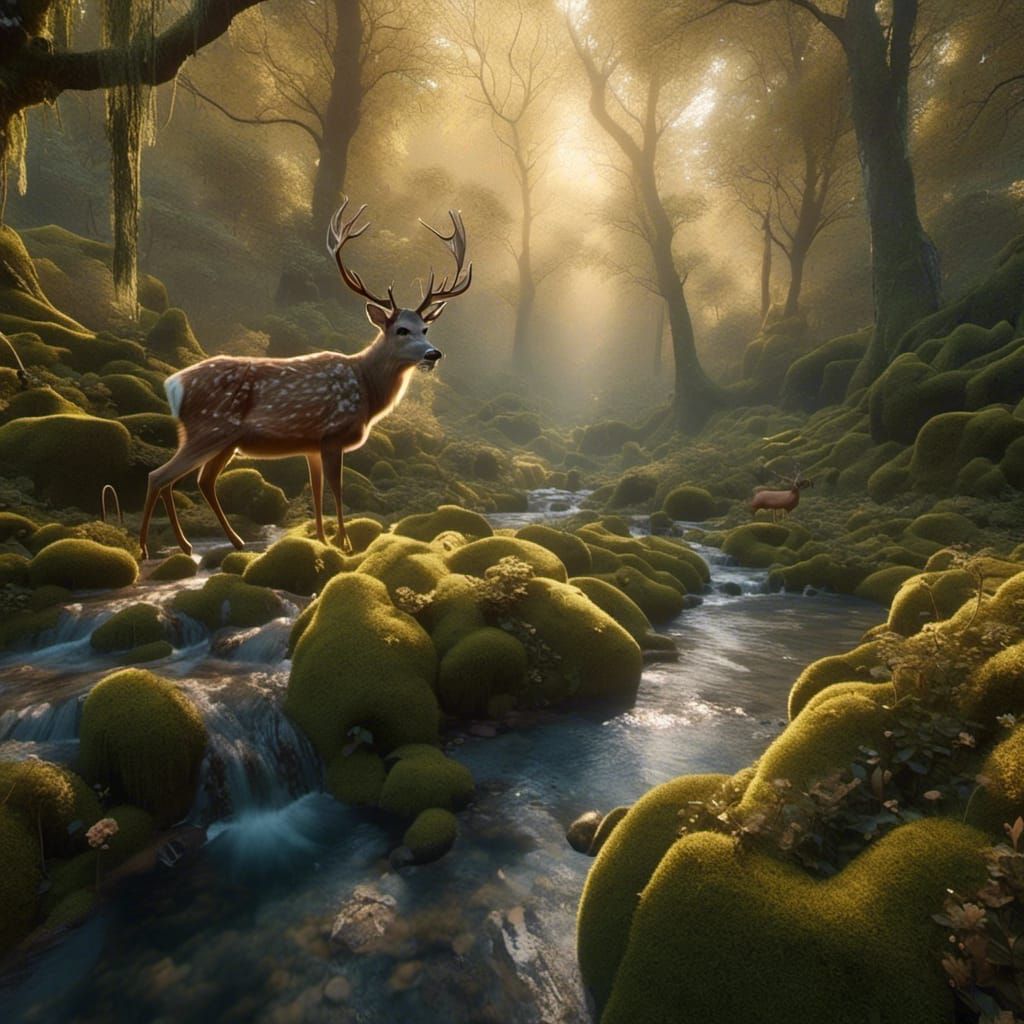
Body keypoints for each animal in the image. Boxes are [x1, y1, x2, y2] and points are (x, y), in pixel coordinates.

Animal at [138, 198, 472, 560]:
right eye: (401, 330)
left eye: (425, 328)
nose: (433, 354)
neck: (366, 388)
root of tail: (173, 384)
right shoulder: (332, 435)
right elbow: (337, 491)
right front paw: (345, 544)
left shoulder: (311, 444)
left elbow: (316, 491)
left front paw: (322, 540)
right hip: (208, 428)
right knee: (159, 476)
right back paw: (147, 548)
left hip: (223, 439)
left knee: (199, 481)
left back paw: (218, 543)